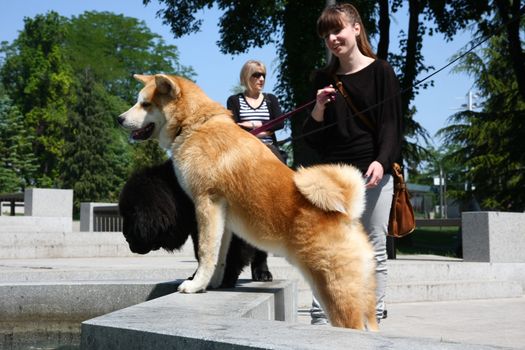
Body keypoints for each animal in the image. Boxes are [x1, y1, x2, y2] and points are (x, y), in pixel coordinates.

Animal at [117, 161, 272, 288]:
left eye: (130, 214)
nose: (124, 235)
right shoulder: (198, 228)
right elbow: (203, 252)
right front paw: (198, 277)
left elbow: (232, 253)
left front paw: (225, 277)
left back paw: (262, 273)